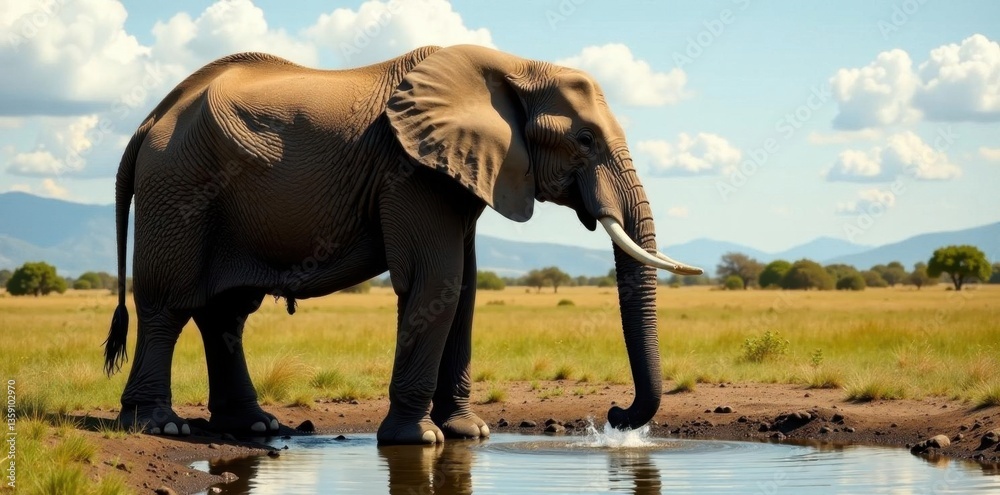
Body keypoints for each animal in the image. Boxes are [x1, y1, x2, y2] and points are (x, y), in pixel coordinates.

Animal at [104, 44, 703, 445]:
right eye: (584, 139)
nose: (615, 415)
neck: (510, 66)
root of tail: (147, 122)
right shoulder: (410, 172)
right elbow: (437, 283)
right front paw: (421, 441)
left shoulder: (456, 174)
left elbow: (463, 292)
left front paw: (468, 433)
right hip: (180, 189)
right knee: (168, 304)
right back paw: (161, 425)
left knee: (225, 314)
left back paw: (256, 425)